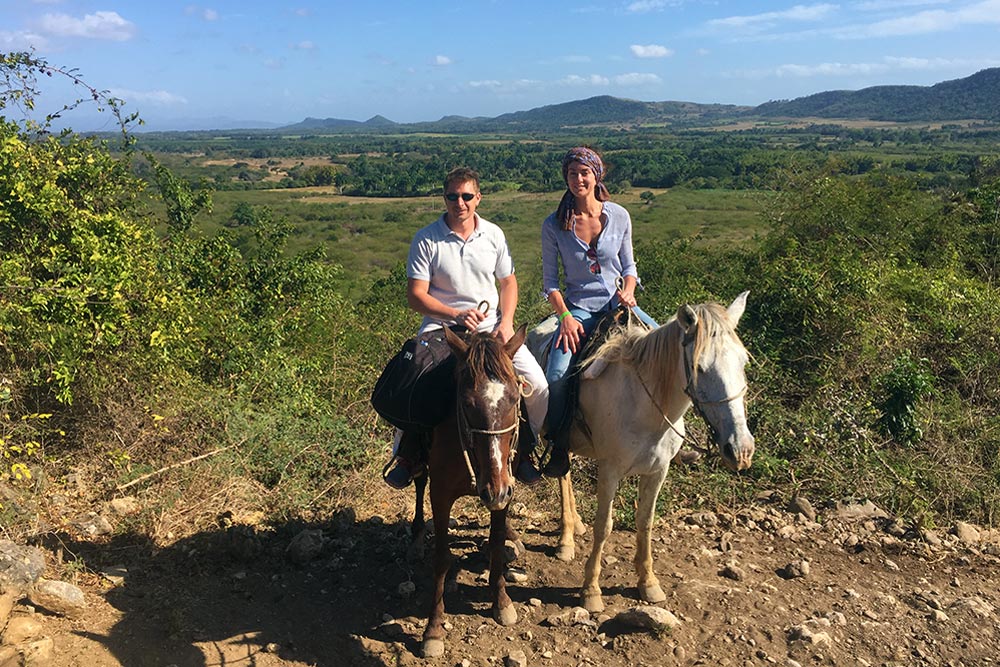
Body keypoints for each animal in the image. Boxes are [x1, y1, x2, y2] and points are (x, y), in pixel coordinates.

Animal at [408, 324, 532, 656]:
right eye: (466, 404)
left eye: (515, 398)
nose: (495, 491)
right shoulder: (440, 495)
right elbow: (441, 558)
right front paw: (433, 629)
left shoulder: (504, 490)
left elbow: (497, 540)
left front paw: (501, 602)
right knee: (418, 482)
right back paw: (416, 535)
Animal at [552, 290, 752, 612]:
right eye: (699, 368)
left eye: (743, 362)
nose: (741, 450)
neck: (644, 404)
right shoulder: (609, 471)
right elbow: (604, 526)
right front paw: (591, 589)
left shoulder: (658, 470)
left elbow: (645, 522)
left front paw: (648, 583)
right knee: (561, 474)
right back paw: (566, 539)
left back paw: (575, 526)